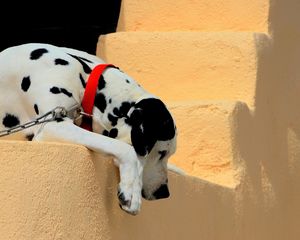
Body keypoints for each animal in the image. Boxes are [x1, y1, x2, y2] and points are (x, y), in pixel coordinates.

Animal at [0, 42, 180, 216]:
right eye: (162, 153)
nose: (164, 192)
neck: (85, 80)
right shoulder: (51, 125)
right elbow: (125, 149)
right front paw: (131, 191)